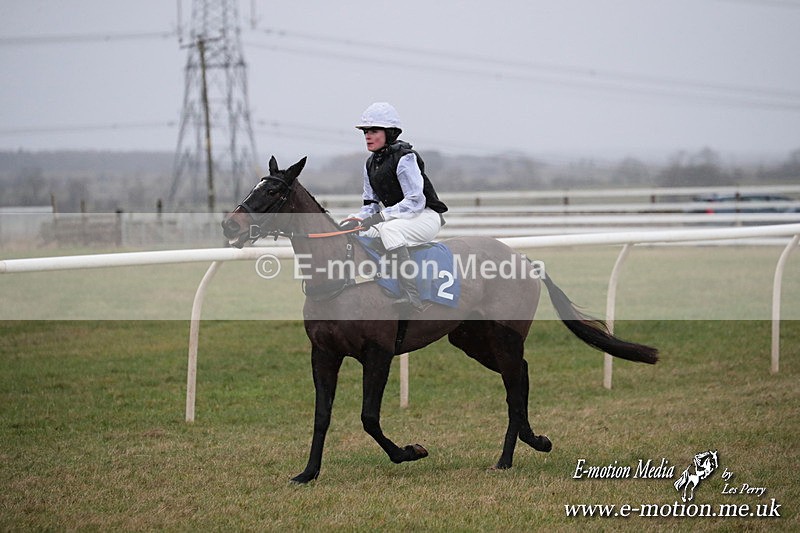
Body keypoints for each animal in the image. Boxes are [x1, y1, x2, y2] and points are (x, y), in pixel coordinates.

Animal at [222, 156, 658, 484]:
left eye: (273, 191)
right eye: (253, 187)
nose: (229, 224)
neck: (339, 276)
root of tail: (524, 258)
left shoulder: (378, 353)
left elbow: (368, 417)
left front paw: (411, 451)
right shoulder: (323, 353)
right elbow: (321, 415)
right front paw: (308, 473)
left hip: (505, 336)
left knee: (515, 384)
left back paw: (514, 453)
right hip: (472, 340)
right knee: (520, 375)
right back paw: (525, 446)